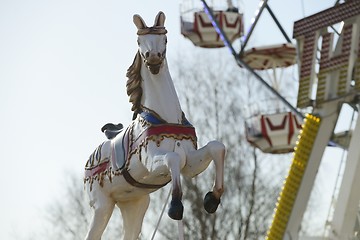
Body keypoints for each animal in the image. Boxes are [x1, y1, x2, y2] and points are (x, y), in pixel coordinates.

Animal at [84, 11, 225, 240]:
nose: (153, 57)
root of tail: (90, 161)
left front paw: (212, 199)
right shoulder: (152, 161)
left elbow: (217, 147)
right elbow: (173, 158)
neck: (166, 116)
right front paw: (175, 206)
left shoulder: (191, 164)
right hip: (102, 204)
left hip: (134, 203)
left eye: (165, 39)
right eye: (139, 41)